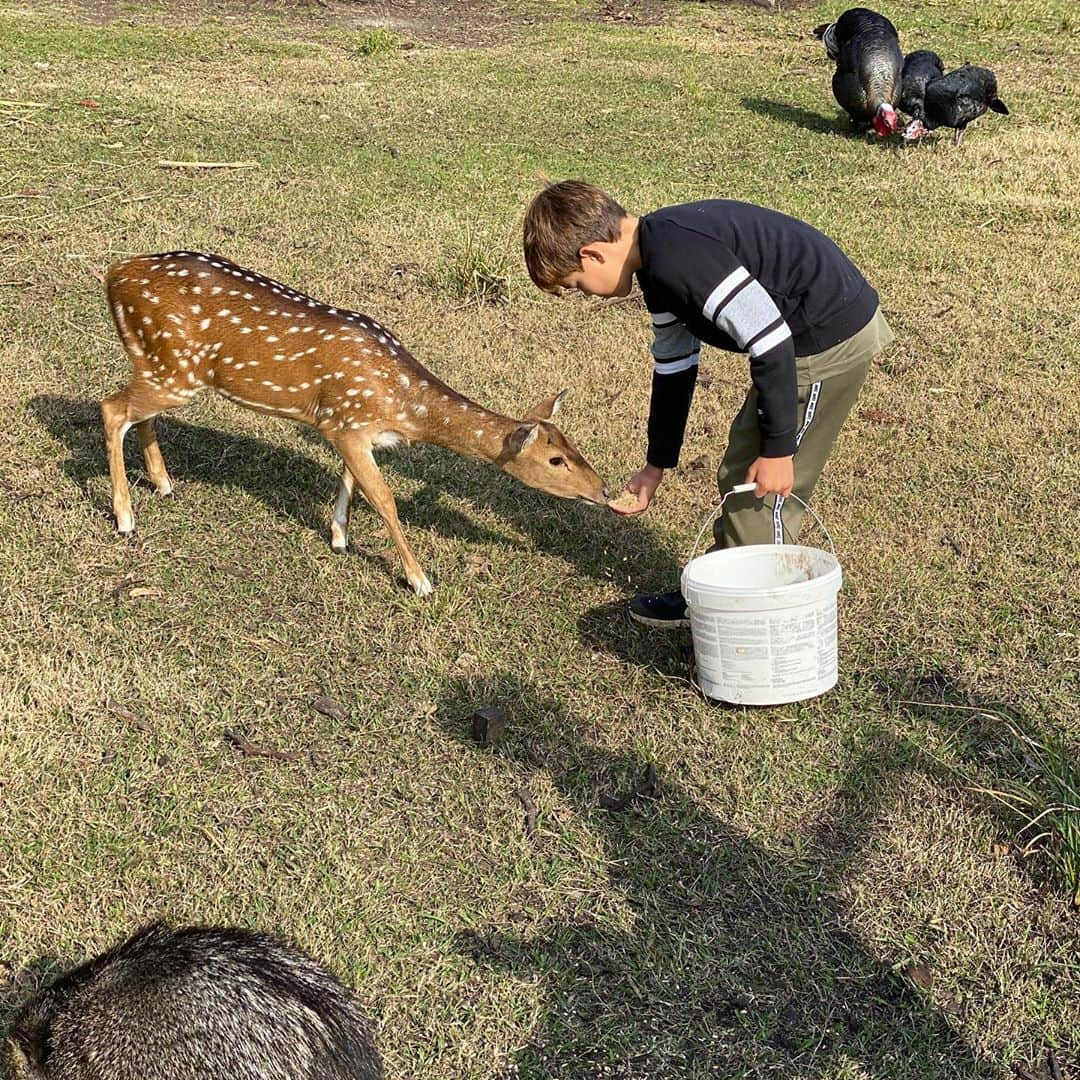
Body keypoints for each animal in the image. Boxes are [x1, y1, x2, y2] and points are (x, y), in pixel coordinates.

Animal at [101, 249, 609, 596]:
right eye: (557, 460)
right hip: (176, 371)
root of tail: (114, 274)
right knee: (111, 408)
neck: (403, 410)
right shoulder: (345, 424)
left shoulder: (351, 429)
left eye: (575, 446)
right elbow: (384, 499)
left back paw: (163, 483)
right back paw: (125, 517)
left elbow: (351, 481)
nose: (604, 491)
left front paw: (339, 536)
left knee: (137, 414)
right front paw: (419, 580)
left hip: (160, 367)